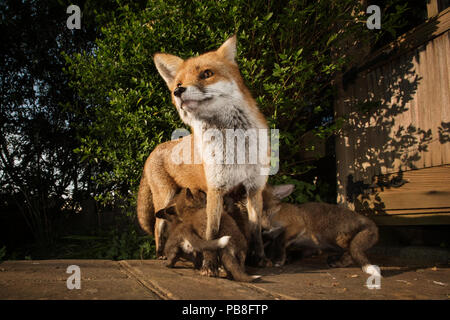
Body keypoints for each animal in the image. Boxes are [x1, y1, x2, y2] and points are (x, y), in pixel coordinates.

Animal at [137, 35, 270, 276]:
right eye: (178, 84)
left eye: (207, 74)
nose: (178, 92)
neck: (236, 146)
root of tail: (155, 148)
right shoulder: (215, 190)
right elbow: (212, 233)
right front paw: (210, 265)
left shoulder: (254, 189)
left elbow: (256, 231)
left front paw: (260, 259)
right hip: (166, 196)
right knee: (157, 226)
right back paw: (161, 254)